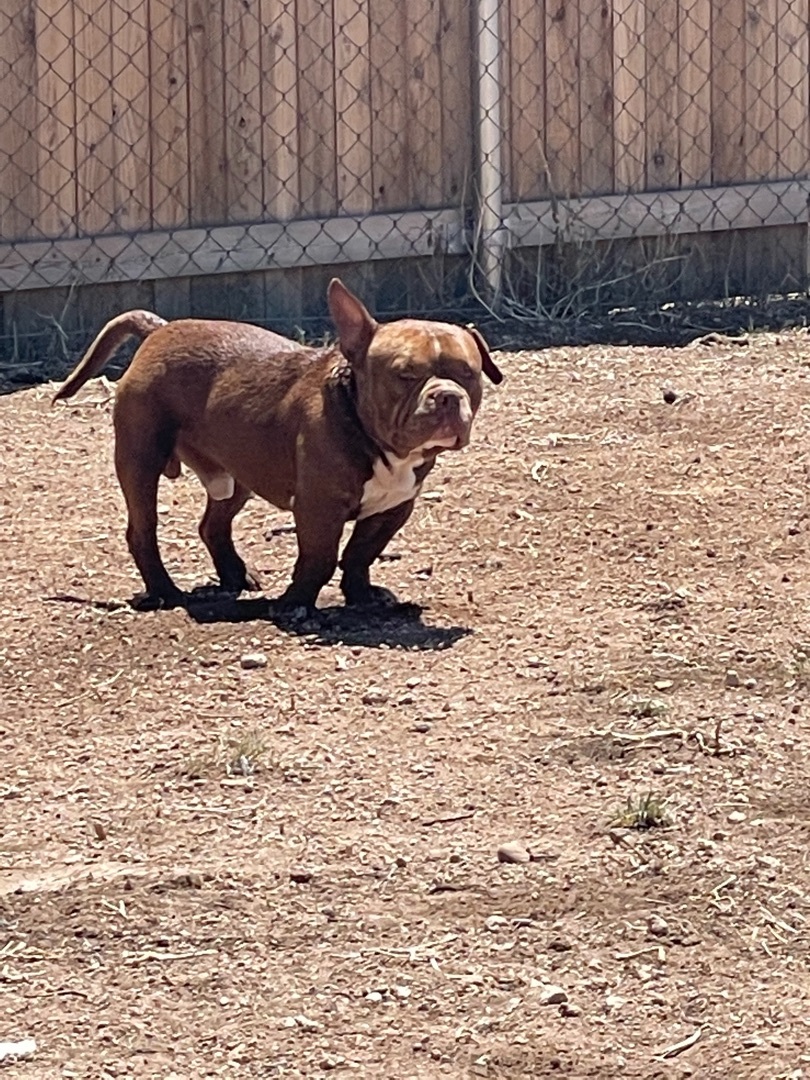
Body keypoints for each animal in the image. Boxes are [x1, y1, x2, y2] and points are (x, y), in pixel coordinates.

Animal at [52, 274, 501, 613]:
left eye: (468, 373)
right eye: (405, 375)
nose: (447, 396)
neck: (371, 436)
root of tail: (159, 329)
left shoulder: (393, 508)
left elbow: (360, 553)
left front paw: (361, 594)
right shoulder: (318, 509)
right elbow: (320, 558)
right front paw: (295, 603)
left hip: (238, 475)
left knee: (213, 524)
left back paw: (235, 574)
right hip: (141, 459)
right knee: (143, 530)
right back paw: (165, 591)